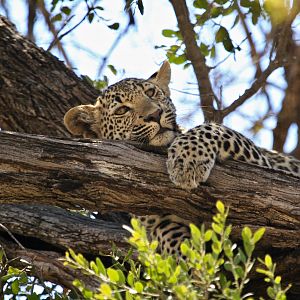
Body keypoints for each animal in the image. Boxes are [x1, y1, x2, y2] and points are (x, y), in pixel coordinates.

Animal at [64, 61, 300, 255]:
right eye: (122, 110)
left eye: (151, 92)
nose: (155, 114)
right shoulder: (154, 216)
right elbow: (169, 234)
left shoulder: (260, 167)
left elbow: (210, 128)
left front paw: (187, 162)